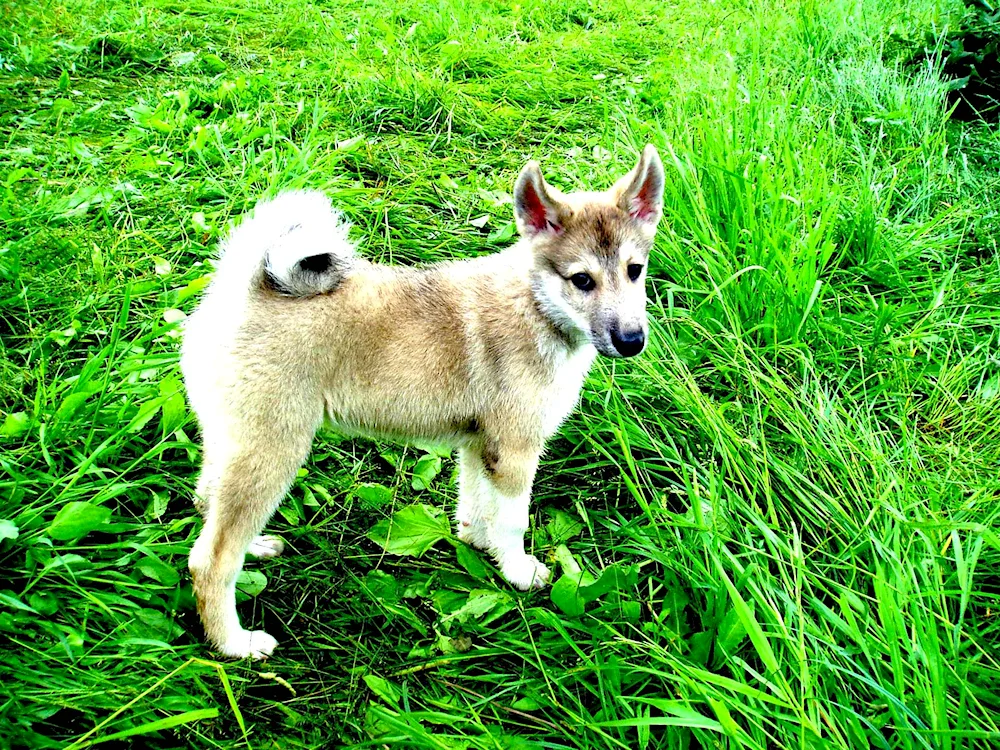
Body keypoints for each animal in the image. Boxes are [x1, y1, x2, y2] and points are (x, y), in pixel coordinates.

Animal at [184, 145, 668, 656]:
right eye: (582, 280)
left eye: (635, 271)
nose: (632, 341)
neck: (536, 307)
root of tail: (242, 290)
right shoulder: (516, 452)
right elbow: (513, 521)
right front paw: (518, 572)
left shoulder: (479, 446)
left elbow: (477, 506)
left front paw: (480, 547)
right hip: (272, 452)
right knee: (210, 560)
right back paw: (235, 643)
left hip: (232, 443)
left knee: (207, 502)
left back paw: (255, 546)